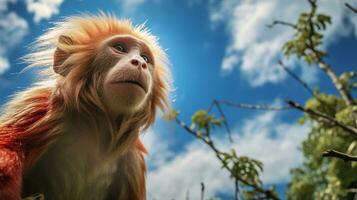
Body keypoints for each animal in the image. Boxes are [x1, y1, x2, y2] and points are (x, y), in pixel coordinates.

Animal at [0, 12, 171, 200]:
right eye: (119, 48)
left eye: (145, 58)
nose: (140, 63)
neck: (98, 127)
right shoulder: (42, 108)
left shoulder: (133, 159)